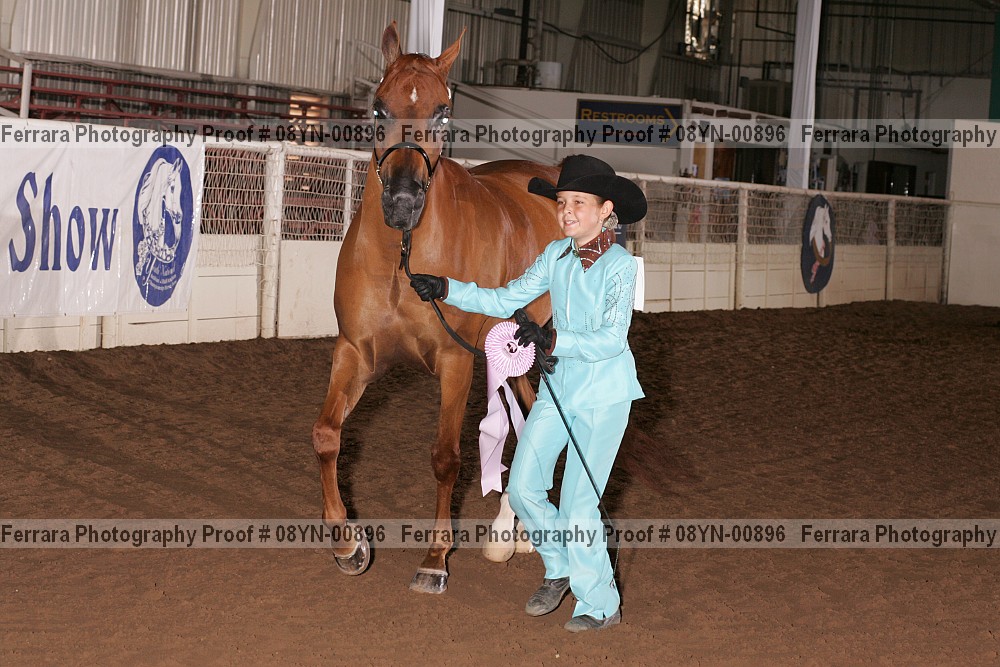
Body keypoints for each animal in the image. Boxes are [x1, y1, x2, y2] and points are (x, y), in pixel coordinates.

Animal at [311, 21, 562, 593]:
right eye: (378, 108)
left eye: (444, 110)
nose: (403, 201)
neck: (403, 261)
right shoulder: (354, 352)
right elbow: (327, 436)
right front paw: (347, 545)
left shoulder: (455, 362)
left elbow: (446, 459)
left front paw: (434, 558)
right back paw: (510, 533)